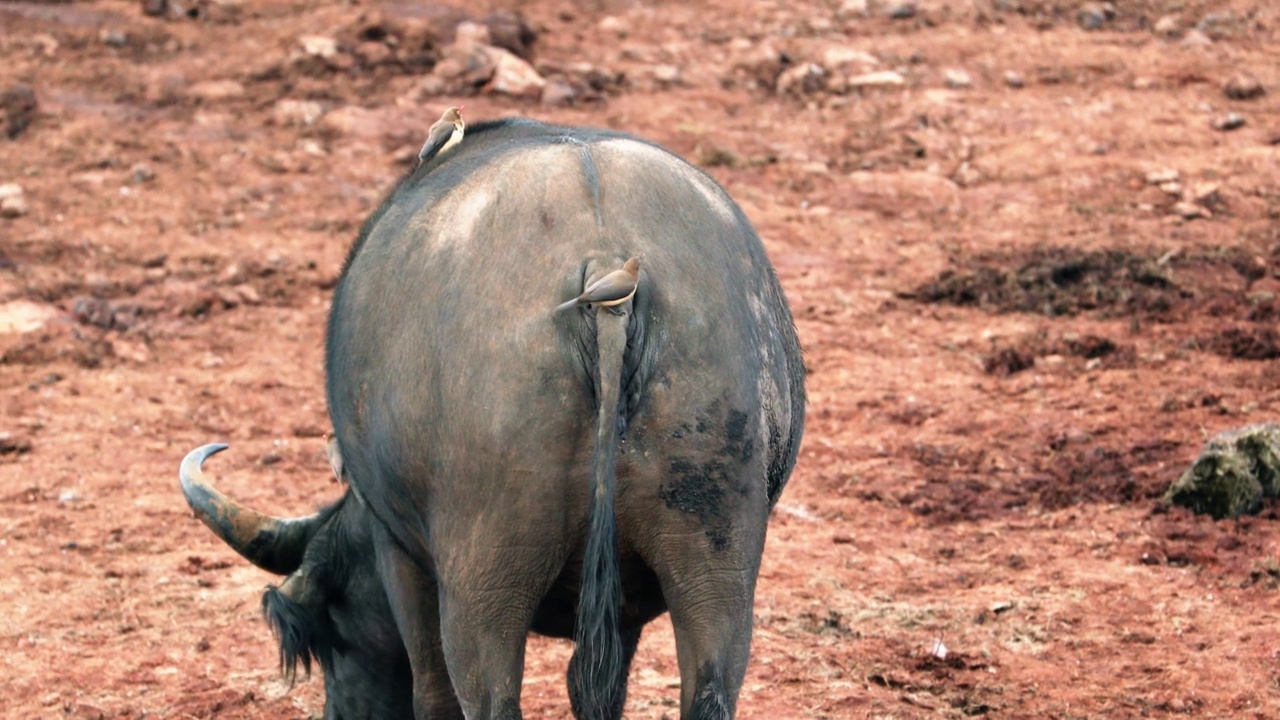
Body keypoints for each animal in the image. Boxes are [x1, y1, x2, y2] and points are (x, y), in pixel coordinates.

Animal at [179, 119, 803, 717]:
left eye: (331, 631)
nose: (341, 711)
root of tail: (606, 266)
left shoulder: (399, 555)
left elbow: (431, 693)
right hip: (715, 563)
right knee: (710, 690)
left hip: (482, 588)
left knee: (486, 699)